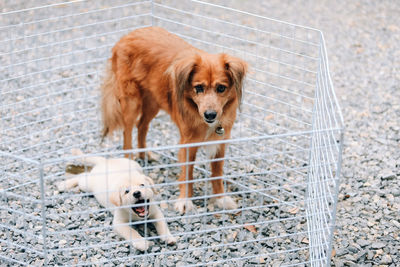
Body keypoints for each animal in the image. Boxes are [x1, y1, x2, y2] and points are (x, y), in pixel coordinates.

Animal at [101, 27, 247, 215]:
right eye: (198, 88)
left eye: (221, 88)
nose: (210, 115)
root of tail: (128, 34)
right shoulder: (187, 143)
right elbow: (188, 174)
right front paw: (185, 201)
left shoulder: (220, 142)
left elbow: (217, 173)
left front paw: (220, 199)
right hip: (131, 102)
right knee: (127, 134)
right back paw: (131, 160)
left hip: (153, 101)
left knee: (142, 126)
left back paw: (144, 154)